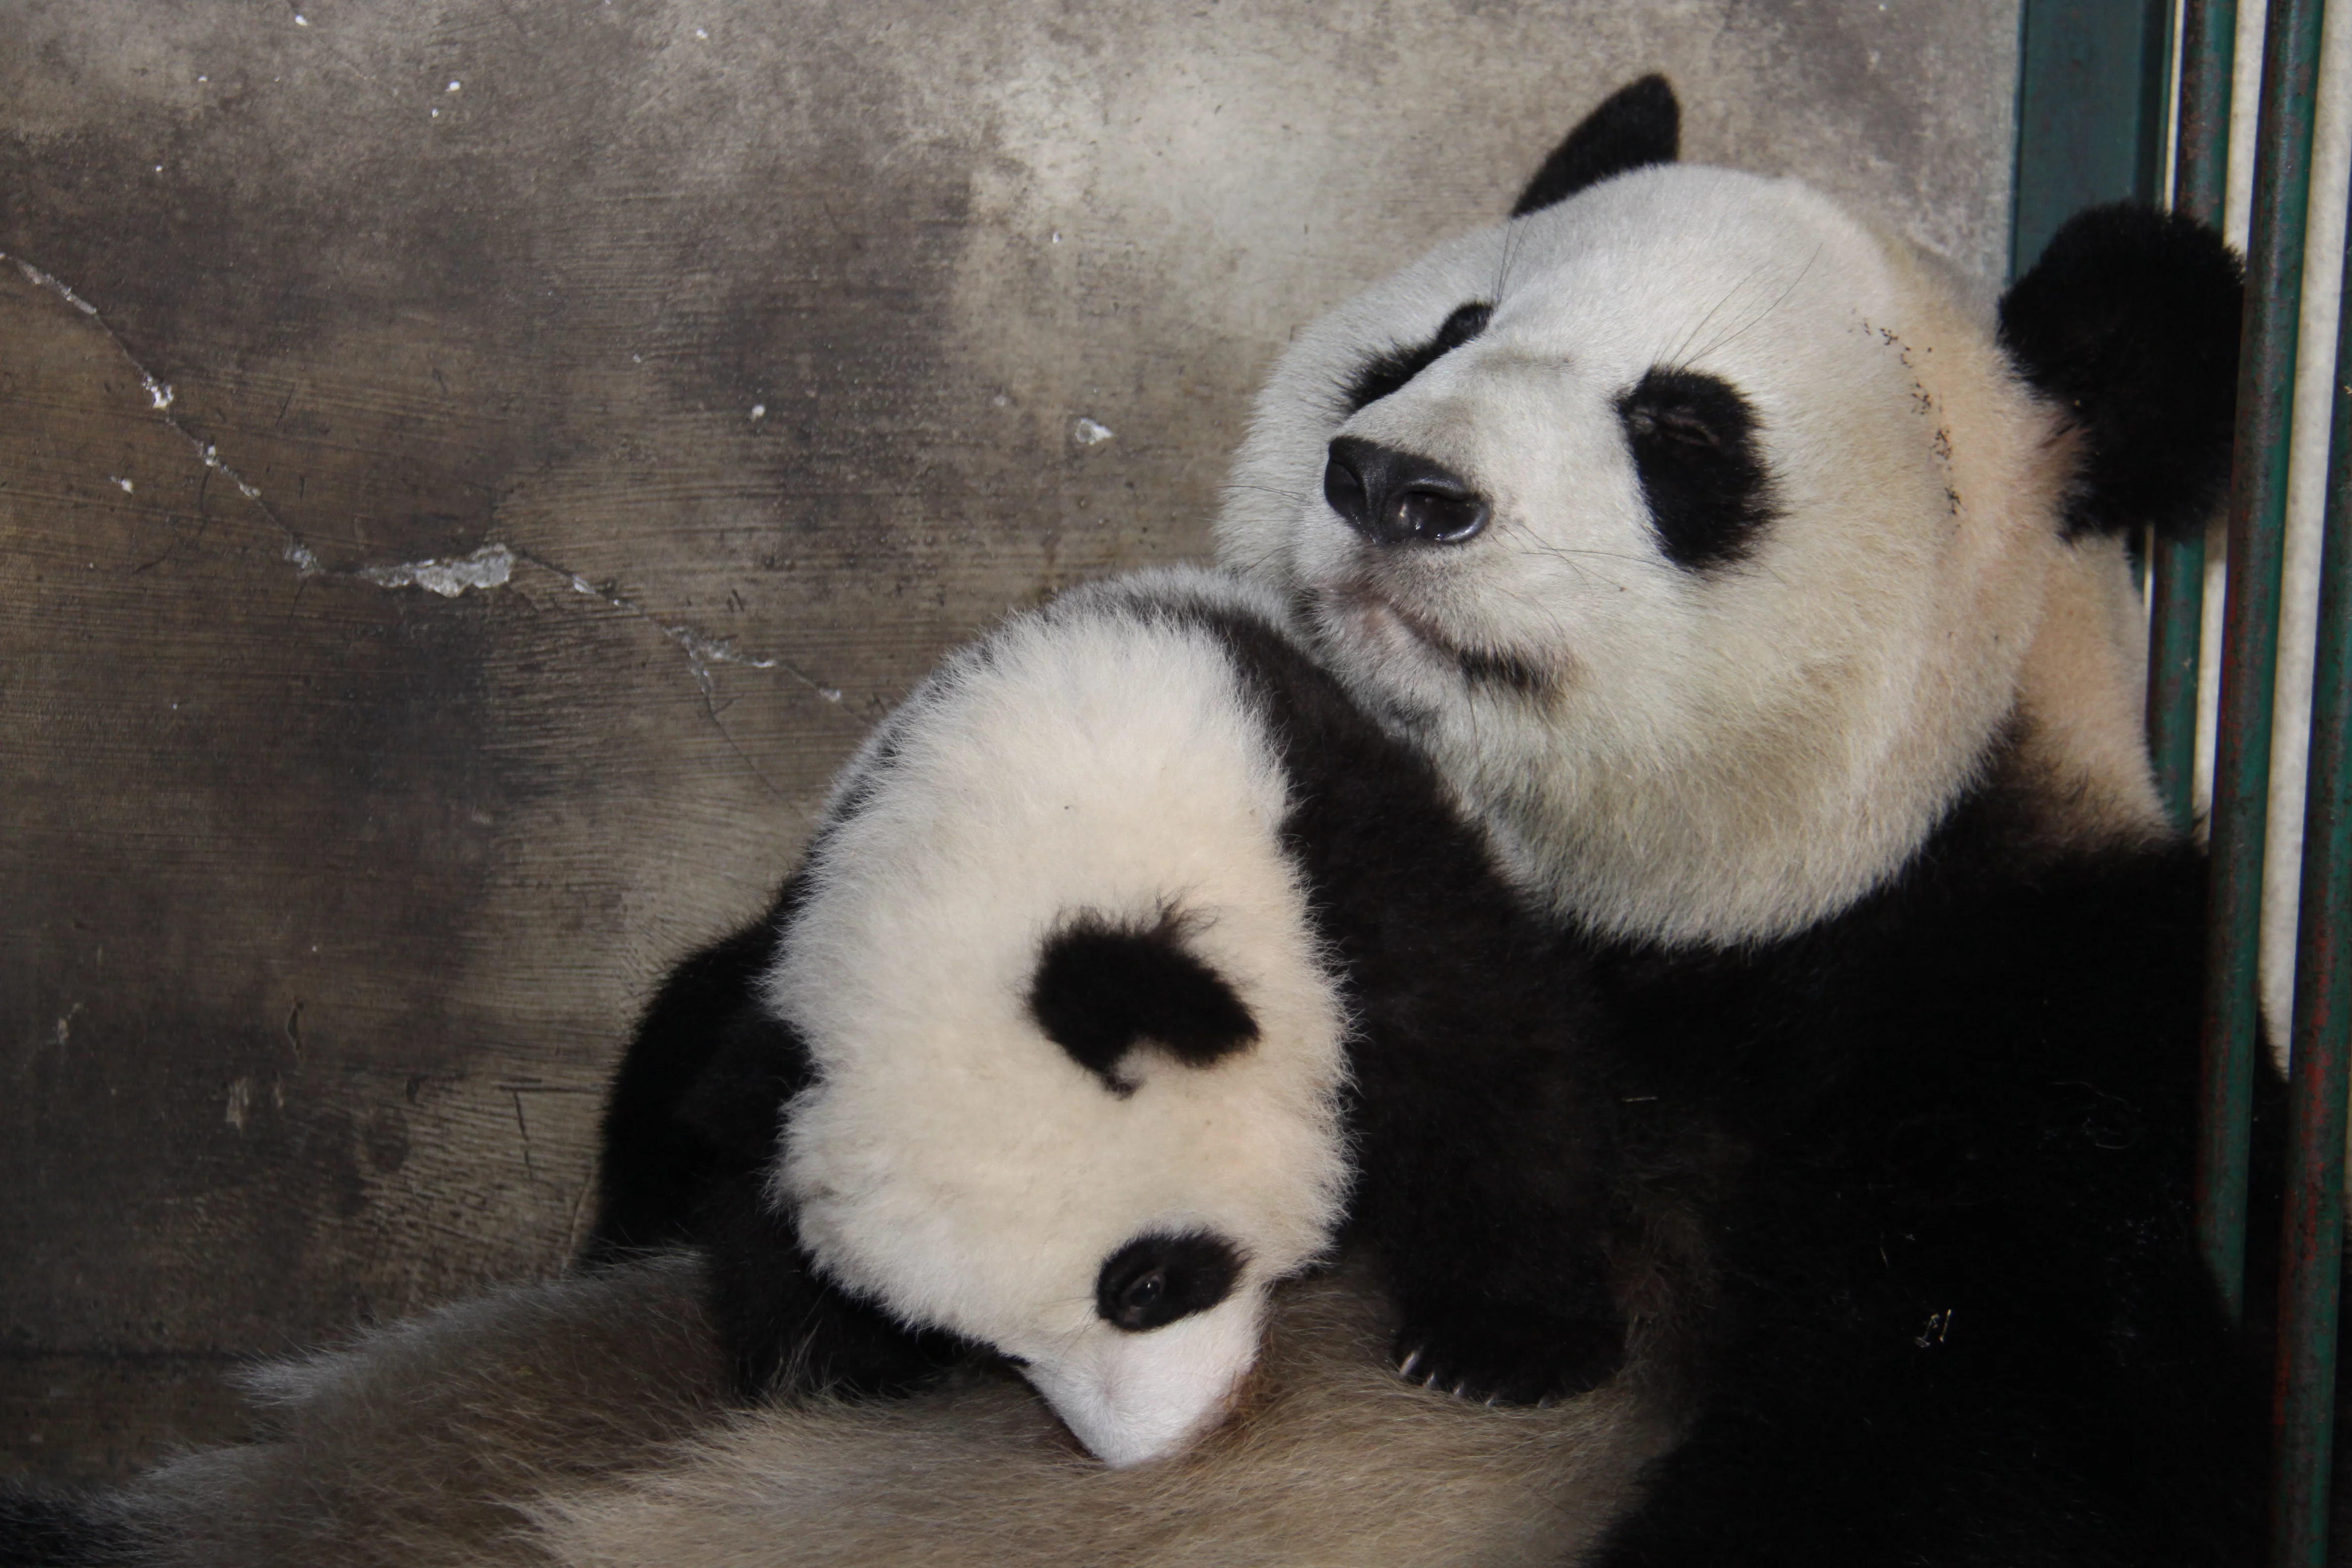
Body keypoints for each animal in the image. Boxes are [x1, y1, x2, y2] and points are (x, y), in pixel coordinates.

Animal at [589, 564, 1632, 1470]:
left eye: (1146, 1283)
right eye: (984, 1343)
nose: (1156, 1448)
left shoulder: (1330, 841)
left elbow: (1480, 1058)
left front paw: (1495, 1351)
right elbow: (752, 1200)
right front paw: (824, 1368)